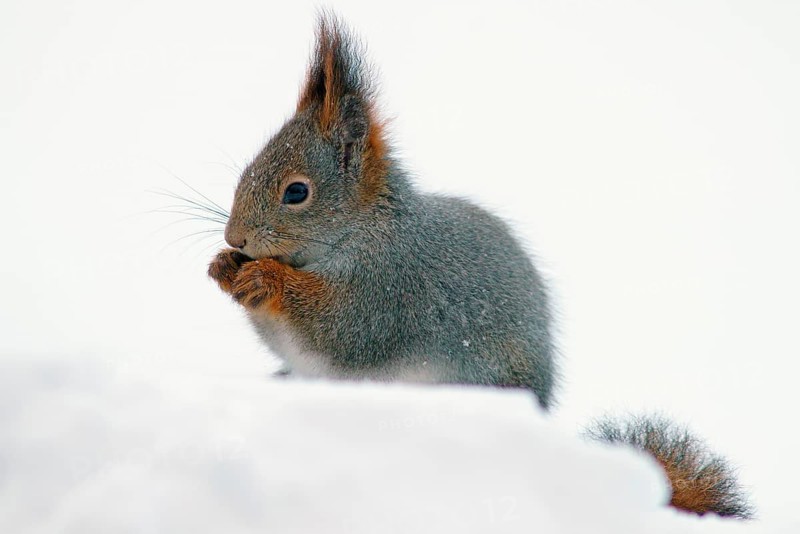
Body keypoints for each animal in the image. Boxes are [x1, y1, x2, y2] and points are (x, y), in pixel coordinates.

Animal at [208, 13, 752, 520]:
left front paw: (264, 278)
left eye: (296, 192)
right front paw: (224, 266)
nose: (235, 237)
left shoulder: (389, 286)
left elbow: (339, 330)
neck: (362, 230)